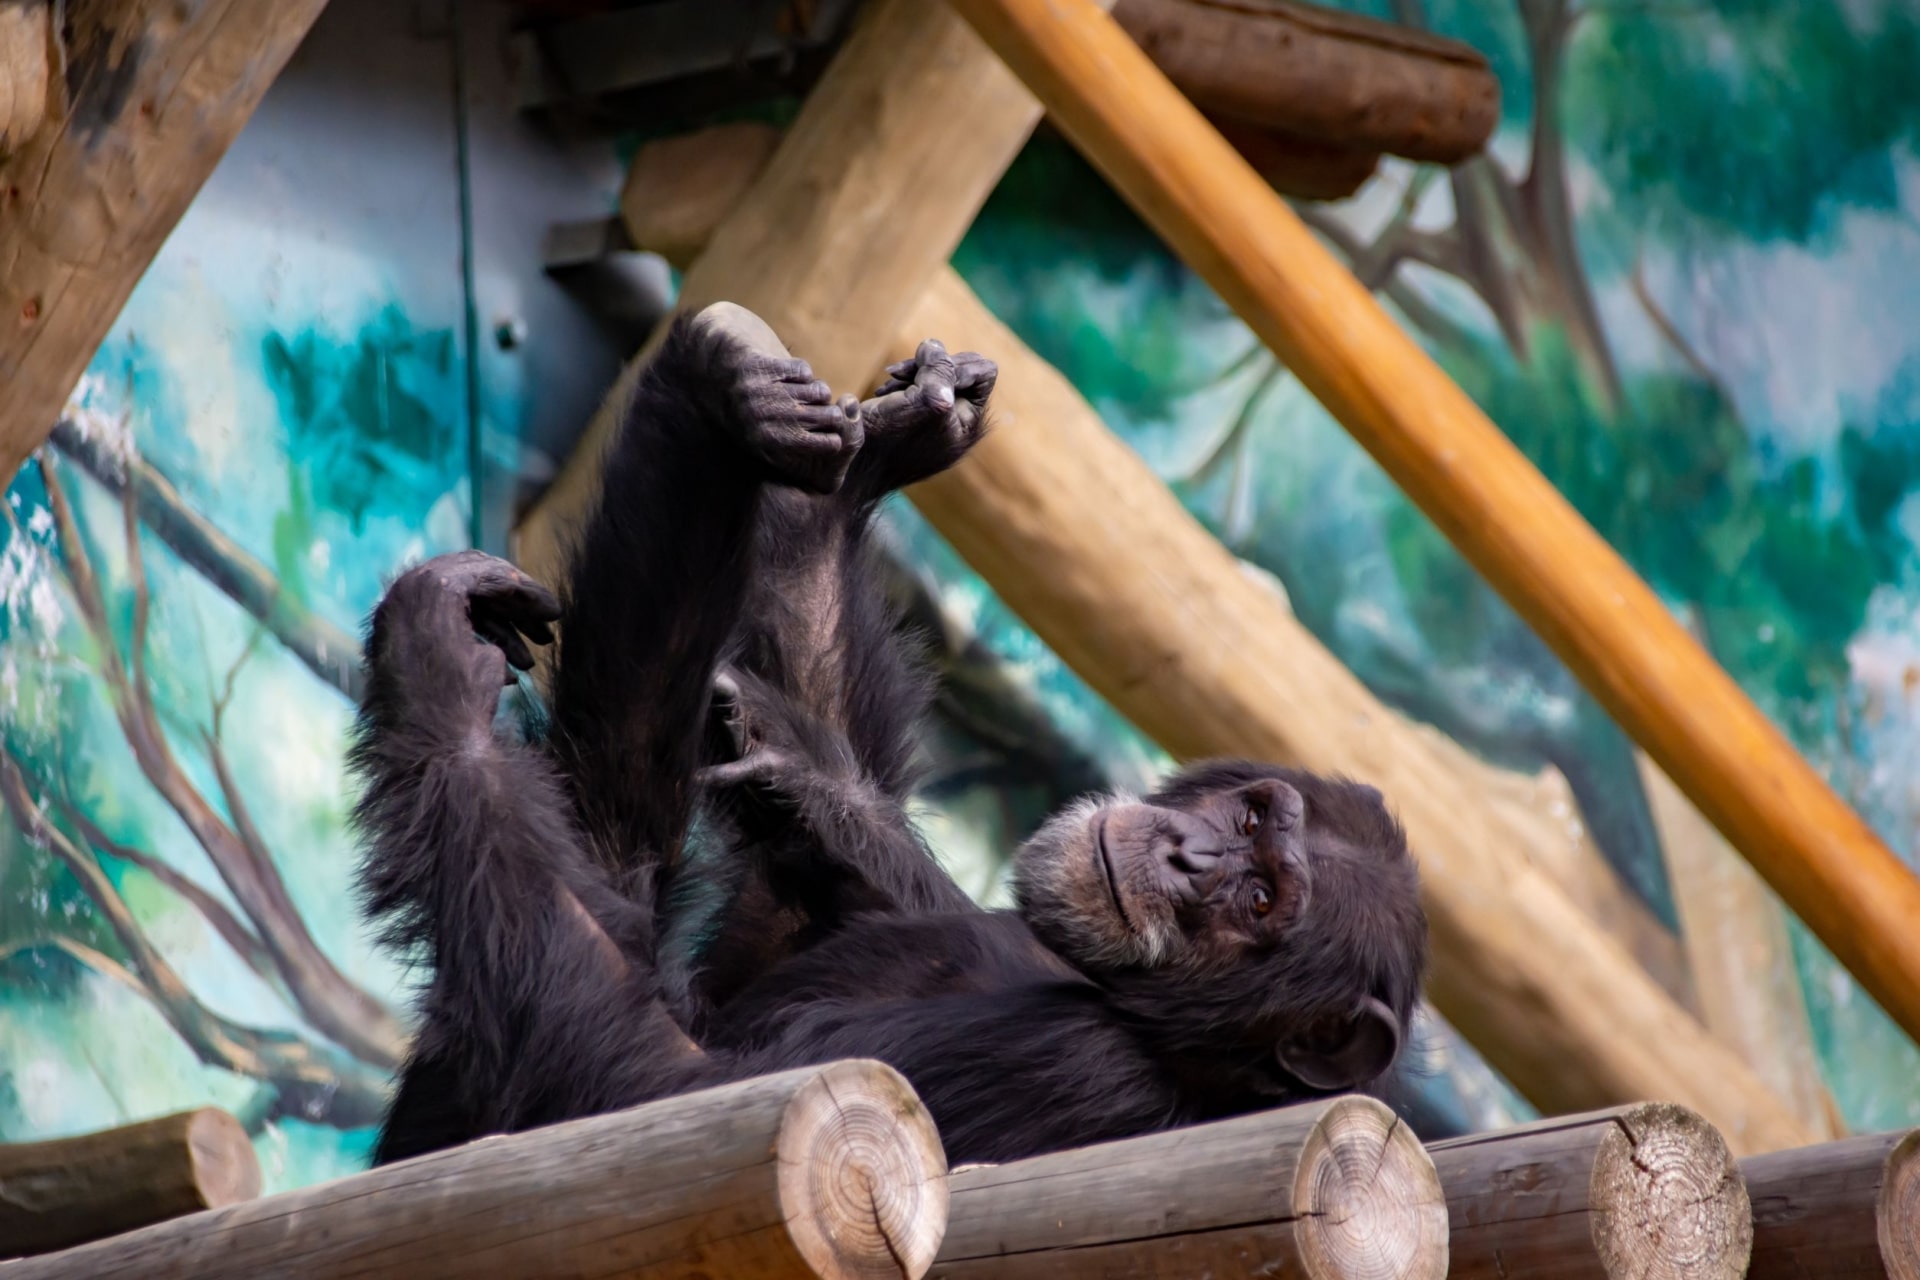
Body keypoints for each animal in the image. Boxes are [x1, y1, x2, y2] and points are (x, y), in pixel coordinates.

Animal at [353, 301, 1420, 1174]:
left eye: (1258, 899)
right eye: (1249, 821)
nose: (1189, 857)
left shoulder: (1084, 1072)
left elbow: (672, 1094)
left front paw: (434, 676)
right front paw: (889, 435)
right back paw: (719, 399)